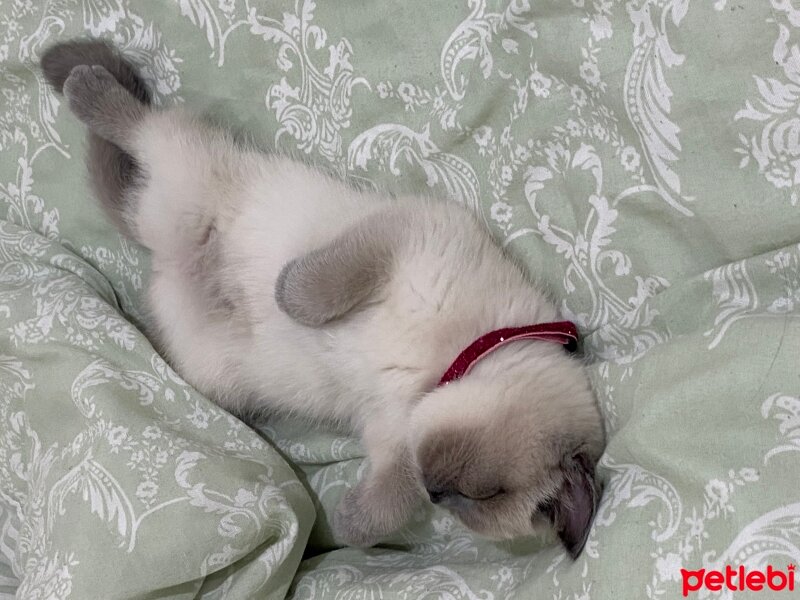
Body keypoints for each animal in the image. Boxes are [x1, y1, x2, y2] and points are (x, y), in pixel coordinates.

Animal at [40, 39, 604, 556]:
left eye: (467, 503)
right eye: (484, 492)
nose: (437, 492)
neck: (439, 369)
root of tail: (162, 251)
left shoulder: (395, 439)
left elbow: (386, 504)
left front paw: (347, 522)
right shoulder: (404, 239)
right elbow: (318, 287)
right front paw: (287, 298)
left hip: (208, 370)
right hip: (190, 170)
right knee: (138, 124)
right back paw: (77, 81)